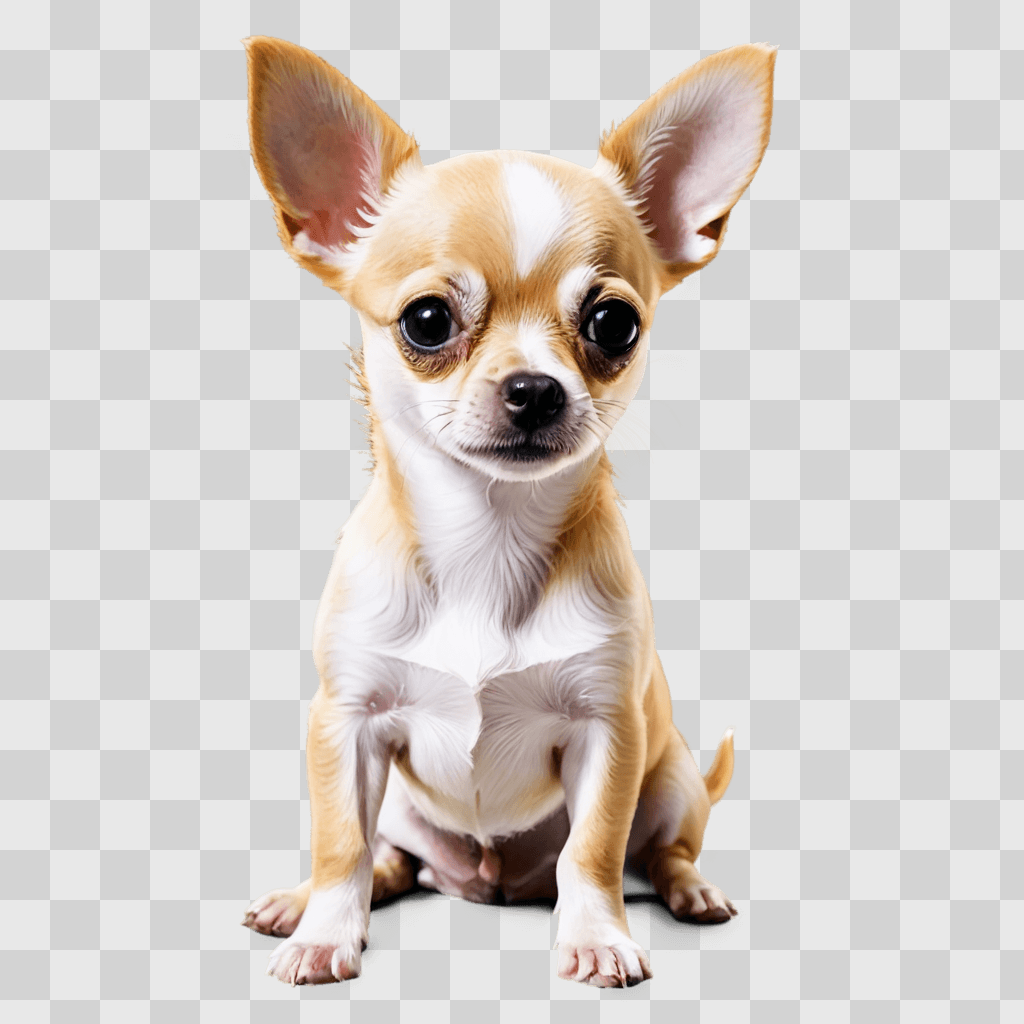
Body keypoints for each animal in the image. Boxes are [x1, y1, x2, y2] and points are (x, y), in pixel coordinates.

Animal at [239, 36, 774, 987]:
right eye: (425, 320)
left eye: (614, 324)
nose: (534, 388)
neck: (485, 541)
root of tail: (489, 886)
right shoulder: (346, 723)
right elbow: (340, 841)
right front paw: (324, 934)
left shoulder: (608, 731)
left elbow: (593, 851)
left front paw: (596, 938)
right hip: (407, 808)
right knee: (388, 856)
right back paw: (306, 902)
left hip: (670, 776)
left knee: (659, 849)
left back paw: (690, 891)